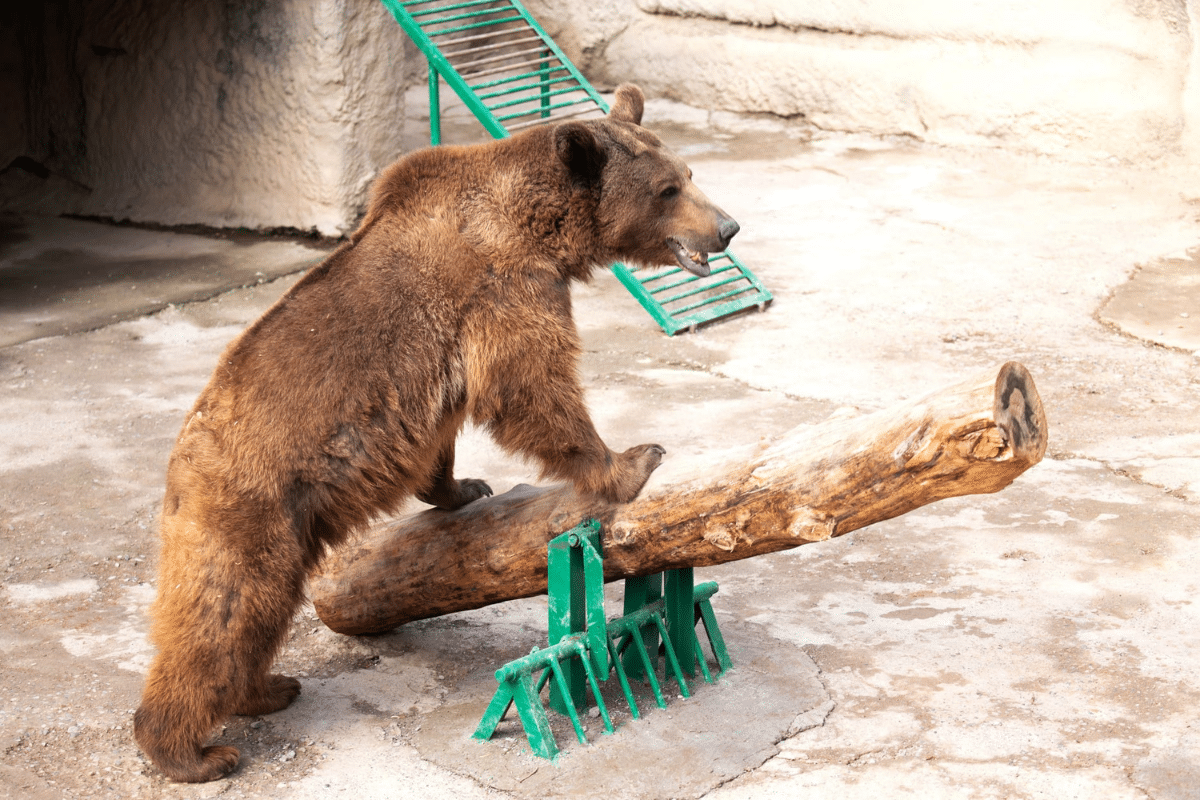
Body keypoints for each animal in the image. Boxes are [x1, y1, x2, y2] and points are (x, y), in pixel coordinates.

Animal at [136, 84, 739, 786]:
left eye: (689, 174)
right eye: (668, 189)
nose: (727, 227)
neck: (540, 227)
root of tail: (179, 462)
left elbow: (450, 434)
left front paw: (465, 486)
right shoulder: (503, 287)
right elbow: (532, 385)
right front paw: (632, 459)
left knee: (258, 617)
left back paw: (266, 689)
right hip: (251, 505)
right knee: (225, 611)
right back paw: (192, 750)